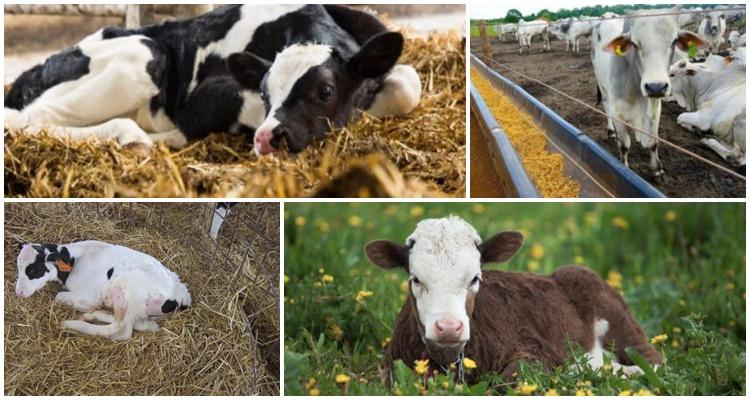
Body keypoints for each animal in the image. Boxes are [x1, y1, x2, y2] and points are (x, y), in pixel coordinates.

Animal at [4, 6, 424, 156]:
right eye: (265, 93)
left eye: (325, 90)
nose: (269, 139)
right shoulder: (212, 94)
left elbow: (409, 84)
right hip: (142, 54)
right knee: (29, 120)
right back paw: (131, 136)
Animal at [15, 241, 191, 340]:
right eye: (19, 267)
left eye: (33, 270)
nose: (18, 292)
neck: (75, 260)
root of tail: (181, 294)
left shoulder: (89, 297)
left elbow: (59, 296)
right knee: (139, 324)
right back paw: (93, 315)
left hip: (129, 292)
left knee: (122, 330)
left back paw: (74, 324)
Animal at [366, 216, 664, 384]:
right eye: (415, 279)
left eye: (475, 278)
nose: (449, 327)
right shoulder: (388, 365)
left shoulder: (537, 351)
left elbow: (508, 380)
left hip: (620, 327)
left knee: (652, 362)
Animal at [592, 7, 708, 177]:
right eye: (634, 43)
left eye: (674, 41)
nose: (656, 87)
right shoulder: (617, 113)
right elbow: (624, 146)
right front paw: (625, 168)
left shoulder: (654, 109)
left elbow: (653, 143)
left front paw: (657, 170)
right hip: (602, 87)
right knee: (605, 107)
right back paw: (610, 131)